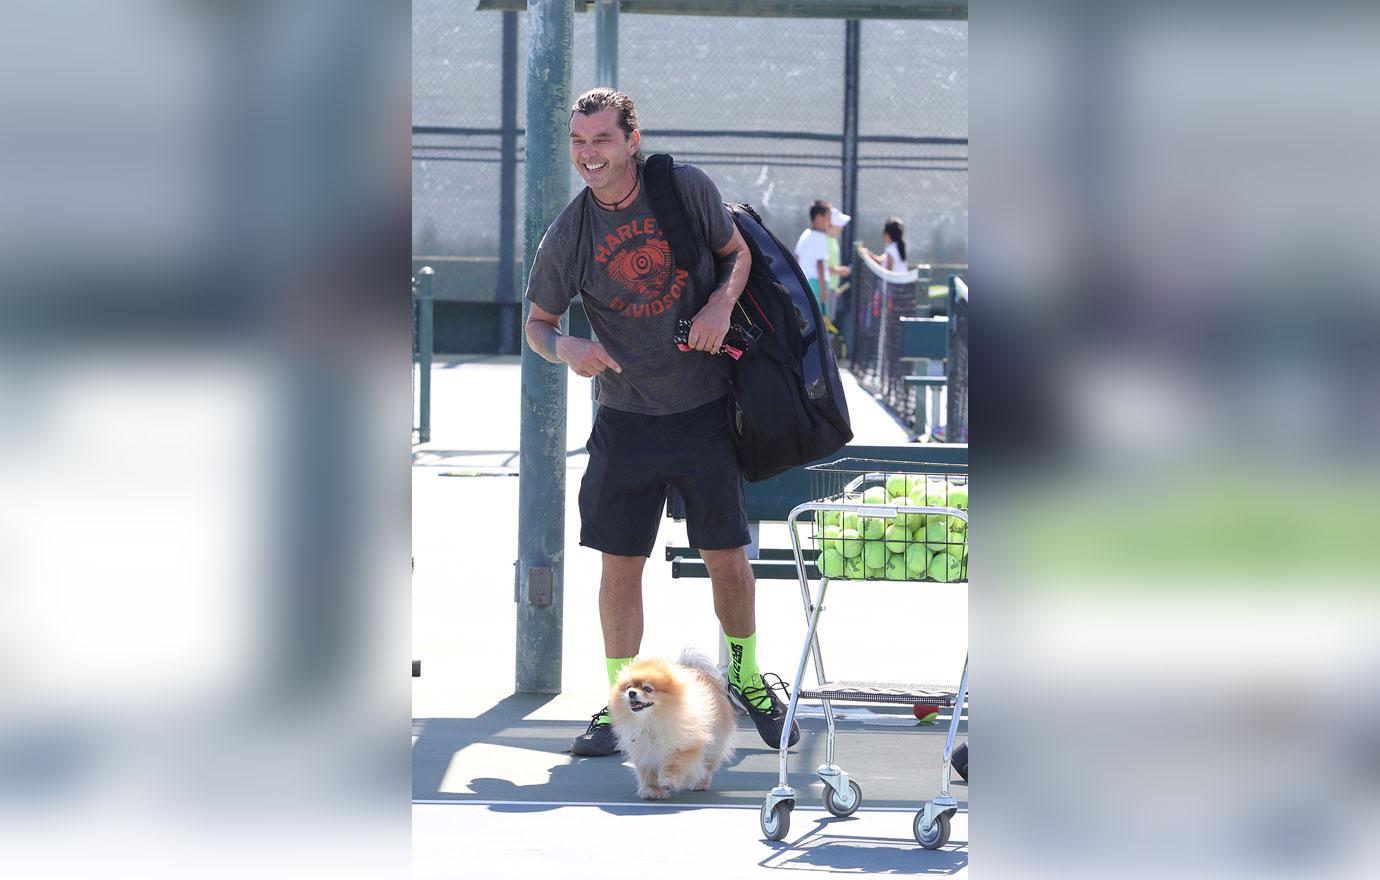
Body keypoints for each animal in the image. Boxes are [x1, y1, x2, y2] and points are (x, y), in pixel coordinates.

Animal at [604, 648, 734, 800]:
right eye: (628, 687)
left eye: (647, 689)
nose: (631, 693)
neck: (651, 721)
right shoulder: (643, 750)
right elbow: (647, 774)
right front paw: (652, 791)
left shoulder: (685, 746)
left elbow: (673, 764)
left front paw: (667, 781)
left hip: (714, 745)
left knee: (707, 766)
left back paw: (700, 784)